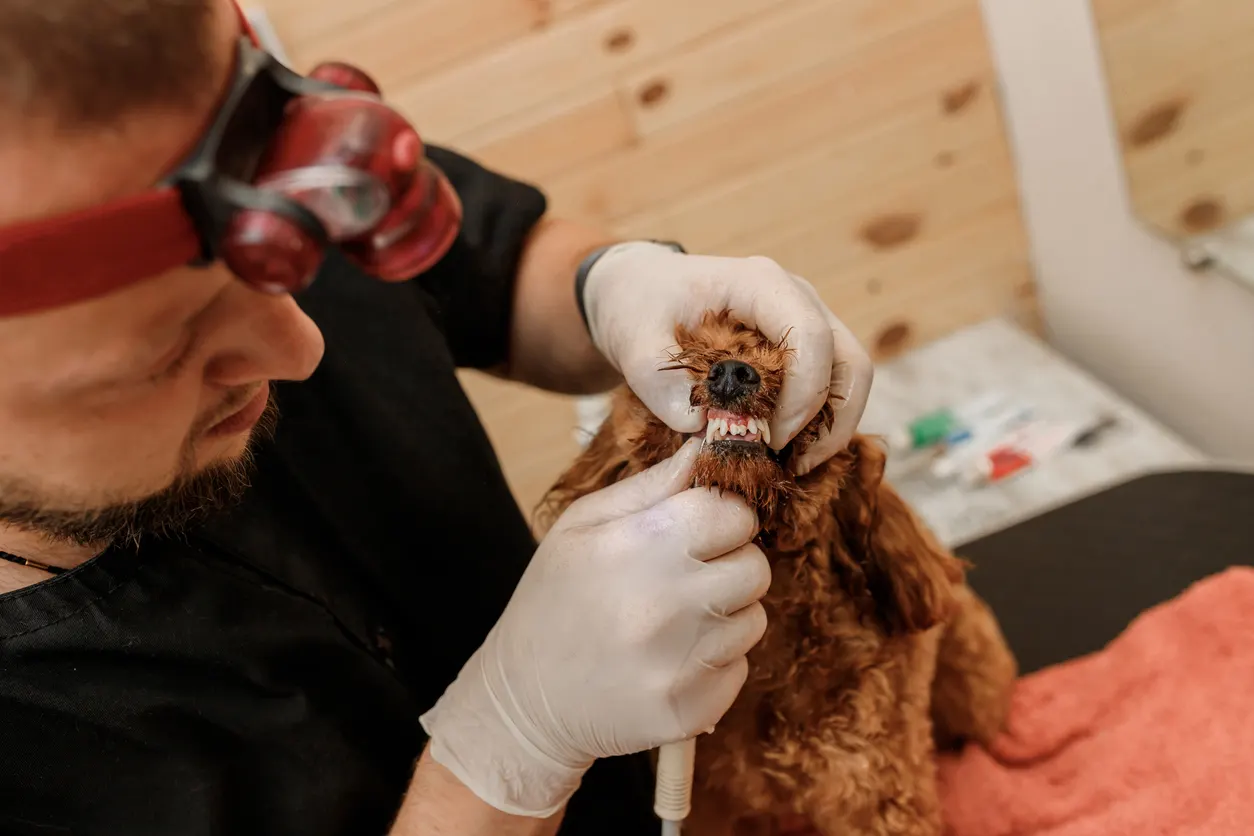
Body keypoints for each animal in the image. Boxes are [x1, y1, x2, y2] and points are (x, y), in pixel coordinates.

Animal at [534, 310, 1013, 836]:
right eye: (691, 346)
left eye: (764, 341)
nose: (731, 372)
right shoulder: (710, 809)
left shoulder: (877, 794)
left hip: (974, 683)